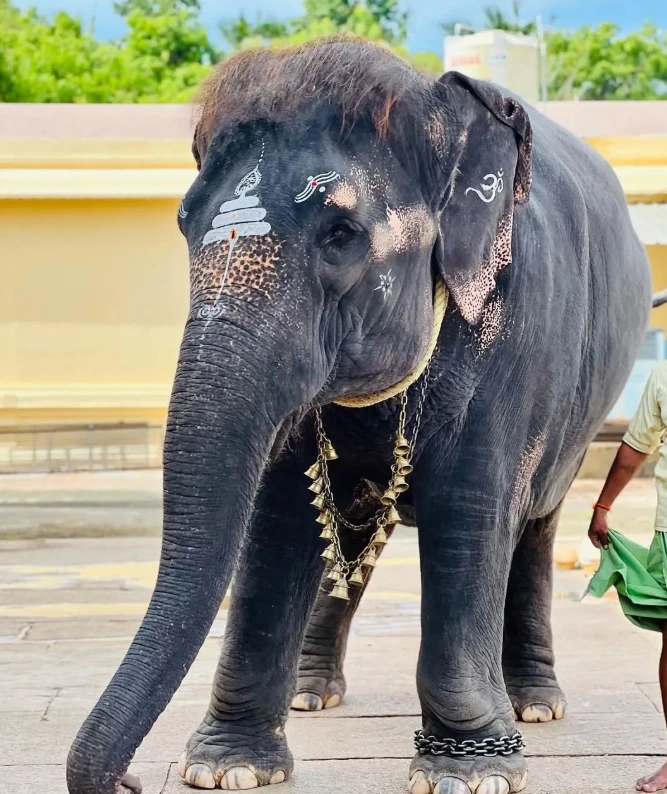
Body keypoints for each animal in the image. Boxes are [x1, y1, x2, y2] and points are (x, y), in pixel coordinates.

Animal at [67, 37, 651, 794]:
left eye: (340, 233)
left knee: (533, 524)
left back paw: (533, 704)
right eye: (183, 225)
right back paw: (310, 694)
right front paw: (227, 769)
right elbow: (278, 515)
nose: (130, 781)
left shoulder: (514, 329)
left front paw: (468, 773)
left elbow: (471, 508)